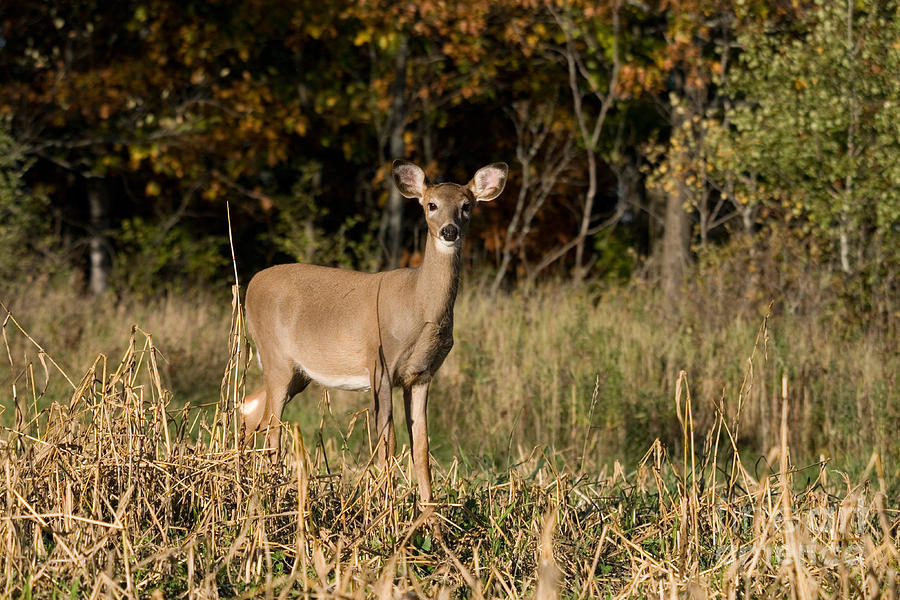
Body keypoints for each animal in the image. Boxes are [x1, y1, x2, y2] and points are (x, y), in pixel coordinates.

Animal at [239, 159, 506, 506]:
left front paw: (430, 511)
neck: (417, 304)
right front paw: (386, 507)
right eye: (431, 205)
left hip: (299, 372)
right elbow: (386, 442)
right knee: (272, 426)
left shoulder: (421, 375)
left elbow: (421, 446)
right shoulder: (380, 365)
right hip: (275, 357)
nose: (450, 231)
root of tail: (251, 285)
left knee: (250, 409)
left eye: (467, 206)